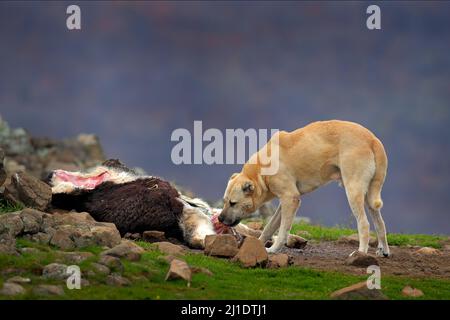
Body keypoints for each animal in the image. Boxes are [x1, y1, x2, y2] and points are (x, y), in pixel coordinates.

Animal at [220, 119, 388, 256]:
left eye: (233, 203)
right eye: (224, 201)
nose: (220, 218)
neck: (261, 170)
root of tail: (373, 139)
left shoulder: (290, 198)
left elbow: (283, 231)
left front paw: (273, 249)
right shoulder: (285, 202)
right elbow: (269, 227)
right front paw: (259, 245)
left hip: (353, 191)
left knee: (364, 224)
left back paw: (361, 253)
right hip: (368, 196)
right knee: (380, 223)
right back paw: (383, 251)